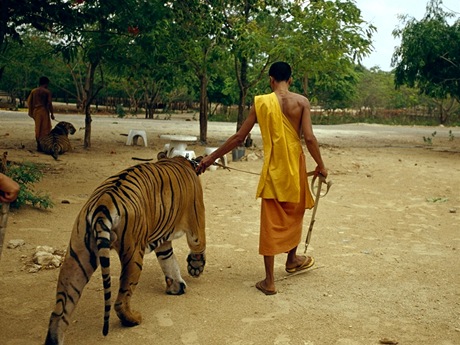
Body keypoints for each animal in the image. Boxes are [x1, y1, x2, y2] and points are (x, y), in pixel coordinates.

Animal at [45, 156, 207, 344]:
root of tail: (103, 203)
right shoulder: (196, 223)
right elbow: (198, 246)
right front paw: (195, 269)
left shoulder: (163, 241)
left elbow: (168, 261)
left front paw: (176, 287)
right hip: (134, 254)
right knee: (120, 300)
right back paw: (134, 319)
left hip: (78, 257)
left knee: (59, 313)